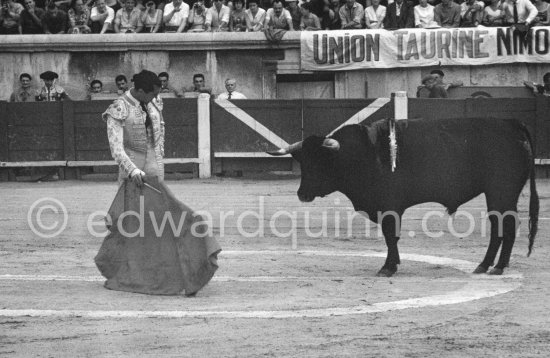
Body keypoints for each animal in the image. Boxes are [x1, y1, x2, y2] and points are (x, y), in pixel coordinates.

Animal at [270, 117, 540, 276]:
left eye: (319, 162)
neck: (363, 154)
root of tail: (512, 123)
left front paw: (388, 267)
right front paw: (393, 264)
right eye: (303, 162)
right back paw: (484, 265)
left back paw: (498, 267)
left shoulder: (389, 207)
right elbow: (392, 238)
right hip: (497, 194)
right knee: (498, 226)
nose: (302, 194)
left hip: (502, 192)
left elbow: (391, 236)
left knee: (507, 225)